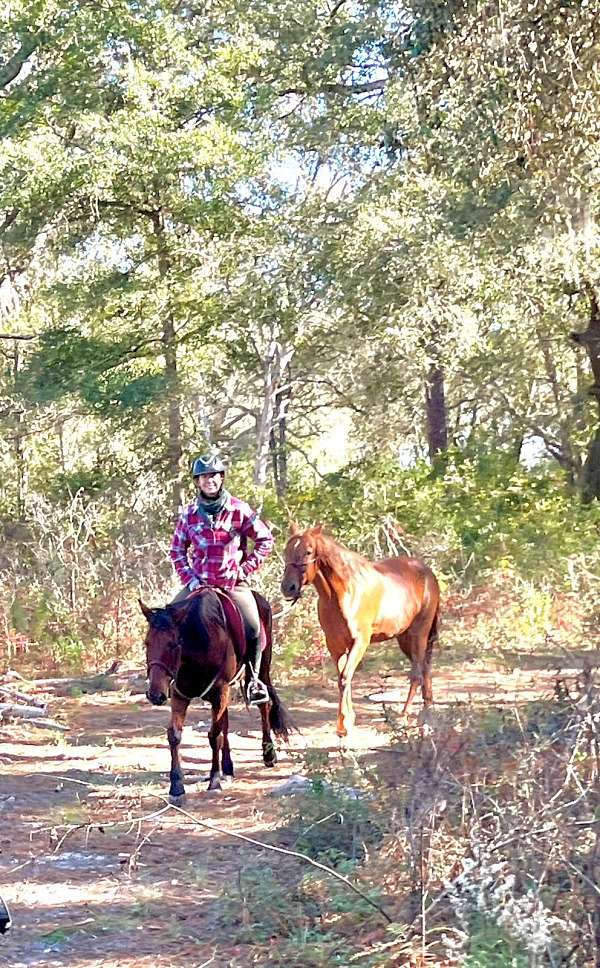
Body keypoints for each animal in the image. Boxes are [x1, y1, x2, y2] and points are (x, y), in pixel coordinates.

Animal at [141, 588, 290, 796]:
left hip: (261, 668)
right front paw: (176, 784)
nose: (155, 694)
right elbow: (175, 735)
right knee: (226, 722)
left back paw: (268, 754)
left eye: (173, 644)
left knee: (264, 704)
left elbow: (214, 736)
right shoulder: (180, 695)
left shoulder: (220, 691)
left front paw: (214, 781)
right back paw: (227, 767)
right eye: (147, 643)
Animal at [278, 524, 438, 736]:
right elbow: (342, 678)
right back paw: (426, 716)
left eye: (308, 551)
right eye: (286, 551)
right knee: (425, 669)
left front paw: (344, 724)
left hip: (418, 634)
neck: (344, 593)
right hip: (404, 638)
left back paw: (405, 716)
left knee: (417, 674)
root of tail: (428, 573)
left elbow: (346, 676)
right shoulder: (335, 645)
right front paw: (345, 721)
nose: (288, 587)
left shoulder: (360, 642)